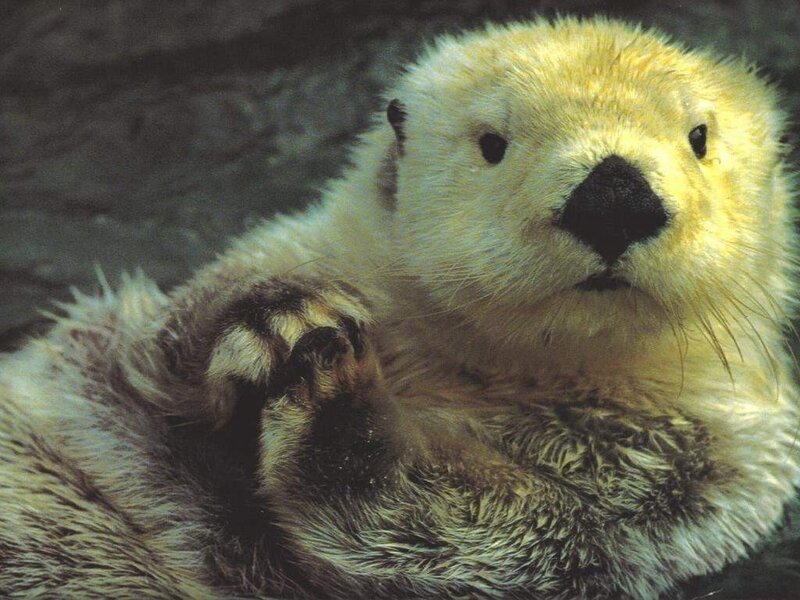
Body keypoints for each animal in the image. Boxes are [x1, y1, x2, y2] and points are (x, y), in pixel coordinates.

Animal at [1, 16, 798, 600]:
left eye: (699, 137)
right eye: (492, 142)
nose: (614, 195)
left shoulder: (690, 480)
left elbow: (475, 531)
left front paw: (336, 396)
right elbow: (152, 348)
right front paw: (277, 316)